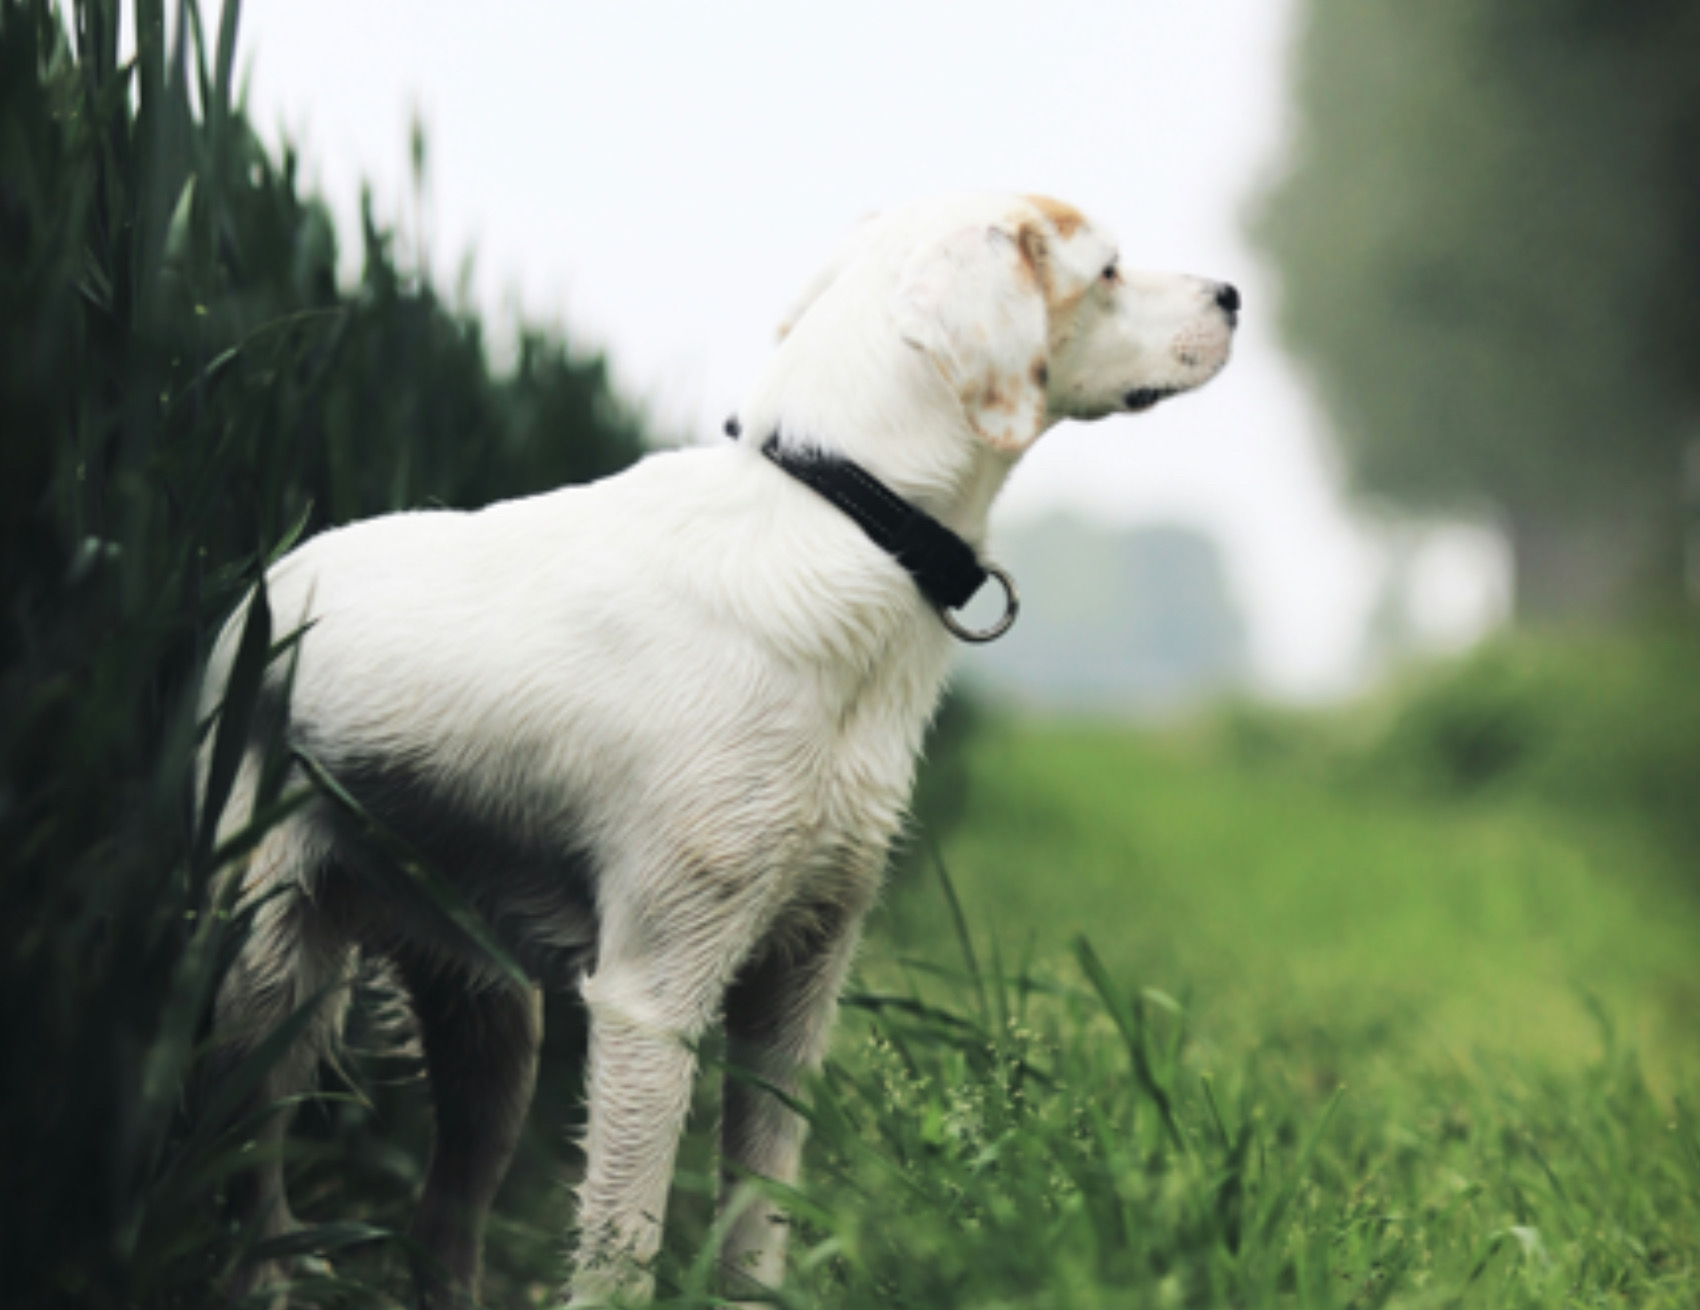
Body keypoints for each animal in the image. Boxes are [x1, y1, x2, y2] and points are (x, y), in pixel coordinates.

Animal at [205, 189, 1237, 1304]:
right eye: (1108, 270)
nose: (1232, 293)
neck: (852, 523)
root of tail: (261, 590)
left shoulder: (797, 988)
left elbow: (758, 1227)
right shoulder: (652, 994)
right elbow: (622, 1248)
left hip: (491, 1022)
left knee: (440, 1228)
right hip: (258, 981)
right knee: (252, 1192)